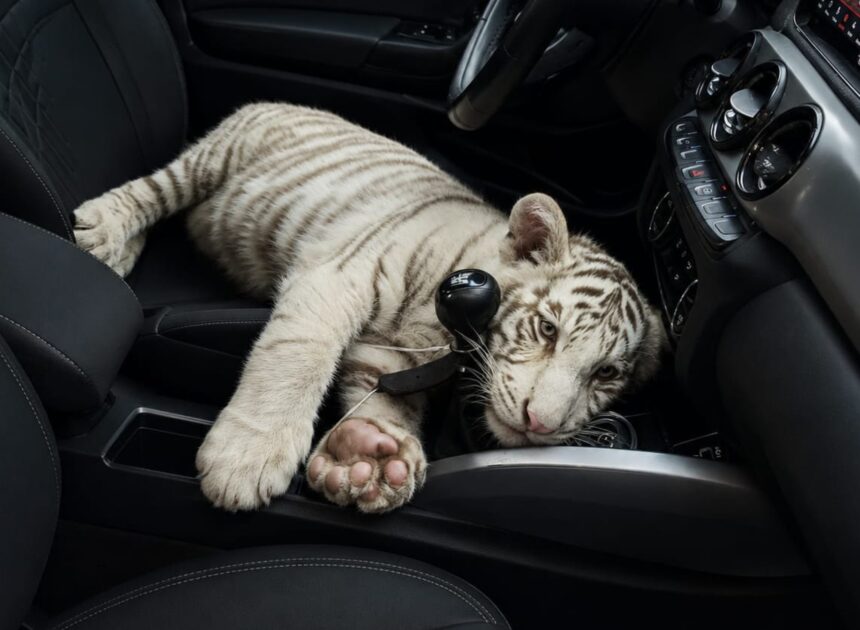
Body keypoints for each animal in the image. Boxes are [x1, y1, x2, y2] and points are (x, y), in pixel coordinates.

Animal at [73, 102, 667, 514]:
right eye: (547, 329)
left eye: (606, 374)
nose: (540, 424)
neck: (445, 330)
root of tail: (286, 102)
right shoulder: (337, 277)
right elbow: (296, 359)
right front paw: (246, 458)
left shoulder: (392, 355)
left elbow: (385, 402)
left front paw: (370, 457)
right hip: (214, 158)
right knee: (154, 189)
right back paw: (102, 232)